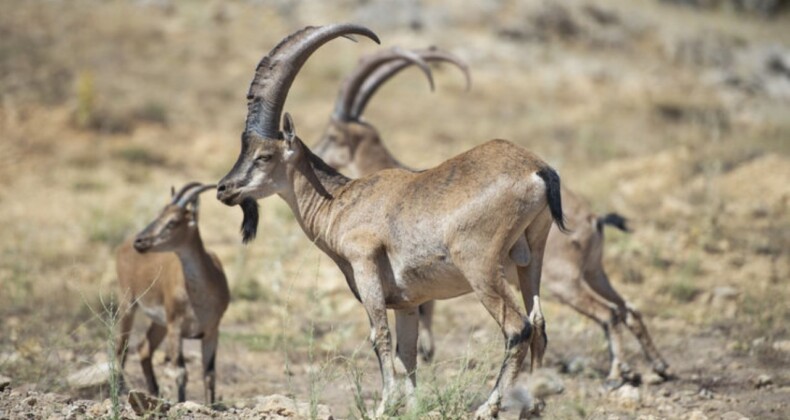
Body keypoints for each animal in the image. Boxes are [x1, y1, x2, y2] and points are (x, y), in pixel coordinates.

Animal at [213, 24, 568, 418]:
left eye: (264, 155)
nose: (224, 189)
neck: (340, 201)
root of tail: (538, 169)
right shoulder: (409, 301)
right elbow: (406, 352)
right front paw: (410, 406)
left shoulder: (365, 265)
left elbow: (379, 336)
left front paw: (383, 405)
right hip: (531, 255)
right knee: (539, 324)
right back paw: (530, 407)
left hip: (480, 265)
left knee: (518, 328)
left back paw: (488, 407)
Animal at [312, 49, 672, 388]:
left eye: (332, 135)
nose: (317, 153)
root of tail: (593, 219)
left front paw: (426, 351)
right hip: (594, 272)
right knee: (628, 309)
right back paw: (658, 367)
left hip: (561, 281)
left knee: (608, 314)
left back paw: (616, 372)